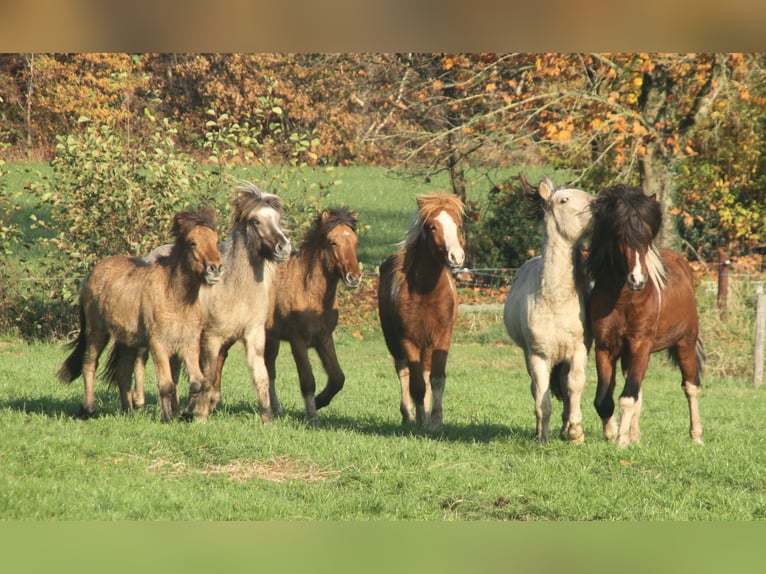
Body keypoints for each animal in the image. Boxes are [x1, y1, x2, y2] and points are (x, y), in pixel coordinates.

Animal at [57, 208, 223, 422]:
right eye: (192, 242)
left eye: (216, 241)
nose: (215, 269)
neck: (175, 297)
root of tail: (91, 275)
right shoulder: (158, 344)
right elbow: (166, 384)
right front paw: (168, 417)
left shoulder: (189, 343)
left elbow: (196, 383)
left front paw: (185, 414)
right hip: (97, 332)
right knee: (89, 364)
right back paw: (87, 409)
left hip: (128, 341)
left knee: (123, 373)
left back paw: (127, 410)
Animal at [214, 208, 361, 422]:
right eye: (332, 241)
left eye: (355, 241)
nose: (354, 278)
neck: (308, 291)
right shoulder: (297, 341)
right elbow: (307, 380)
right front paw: (312, 416)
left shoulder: (324, 338)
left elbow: (337, 378)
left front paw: (319, 402)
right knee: (221, 355)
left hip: (269, 339)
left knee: (269, 370)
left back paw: (276, 409)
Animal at [377, 193, 465, 432]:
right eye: (433, 227)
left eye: (459, 225)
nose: (456, 257)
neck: (426, 292)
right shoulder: (408, 340)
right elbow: (416, 385)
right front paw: (420, 422)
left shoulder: (442, 337)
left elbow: (436, 379)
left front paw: (435, 421)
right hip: (394, 342)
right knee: (404, 372)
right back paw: (408, 416)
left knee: (424, 374)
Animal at [503, 175, 595, 444]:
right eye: (564, 200)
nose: (600, 204)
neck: (555, 299)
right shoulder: (539, 356)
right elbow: (541, 396)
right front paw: (542, 437)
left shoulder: (578, 351)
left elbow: (574, 385)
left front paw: (575, 432)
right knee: (536, 389)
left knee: (564, 385)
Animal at [587, 184, 704, 447]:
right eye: (620, 234)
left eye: (648, 236)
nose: (638, 280)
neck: (623, 300)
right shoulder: (606, 347)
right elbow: (604, 400)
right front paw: (614, 434)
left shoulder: (641, 344)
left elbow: (627, 397)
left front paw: (621, 442)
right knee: (638, 389)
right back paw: (636, 436)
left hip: (685, 343)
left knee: (690, 387)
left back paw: (697, 436)